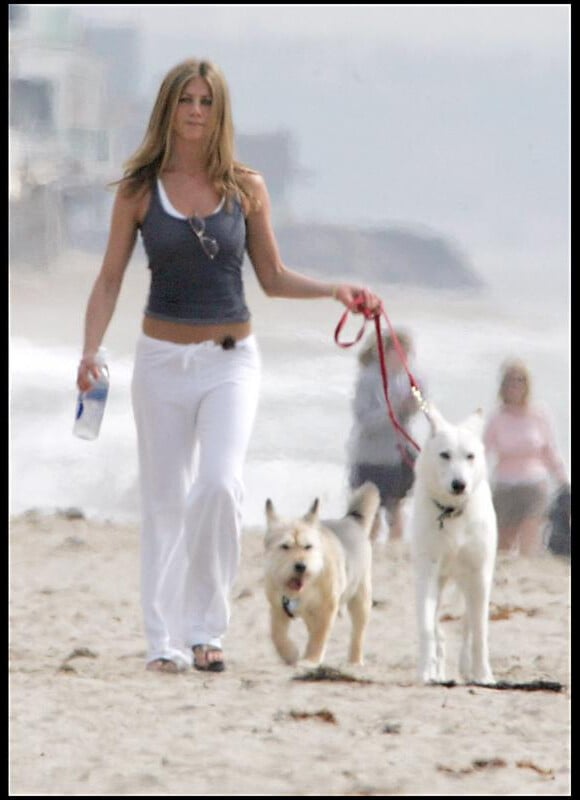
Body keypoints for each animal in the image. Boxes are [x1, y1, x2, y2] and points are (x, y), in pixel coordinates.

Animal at [264, 484, 380, 664]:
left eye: (308, 546)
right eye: (285, 546)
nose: (301, 566)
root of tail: (350, 520)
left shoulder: (326, 608)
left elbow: (319, 636)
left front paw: (311, 659)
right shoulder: (277, 608)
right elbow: (277, 635)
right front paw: (290, 653)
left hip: (360, 596)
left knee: (358, 632)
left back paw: (355, 660)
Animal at [408, 410, 498, 684]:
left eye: (470, 456)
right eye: (445, 455)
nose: (459, 484)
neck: (452, 512)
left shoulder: (479, 574)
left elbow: (480, 631)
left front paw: (484, 675)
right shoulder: (427, 572)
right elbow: (427, 628)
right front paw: (425, 672)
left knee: (469, 624)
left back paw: (468, 668)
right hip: (440, 581)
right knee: (439, 630)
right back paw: (437, 670)